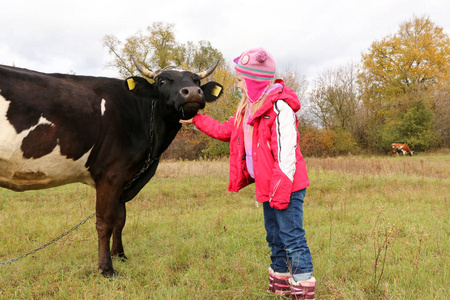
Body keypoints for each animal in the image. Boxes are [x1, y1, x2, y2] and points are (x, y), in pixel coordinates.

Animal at [0, 58, 223, 276]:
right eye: (162, 81)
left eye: (197, 81)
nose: (192, 92)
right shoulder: (111, 175)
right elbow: (105, 222)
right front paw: (106, 268)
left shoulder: (124, 178)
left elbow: (120, 219)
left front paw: (120, 255)